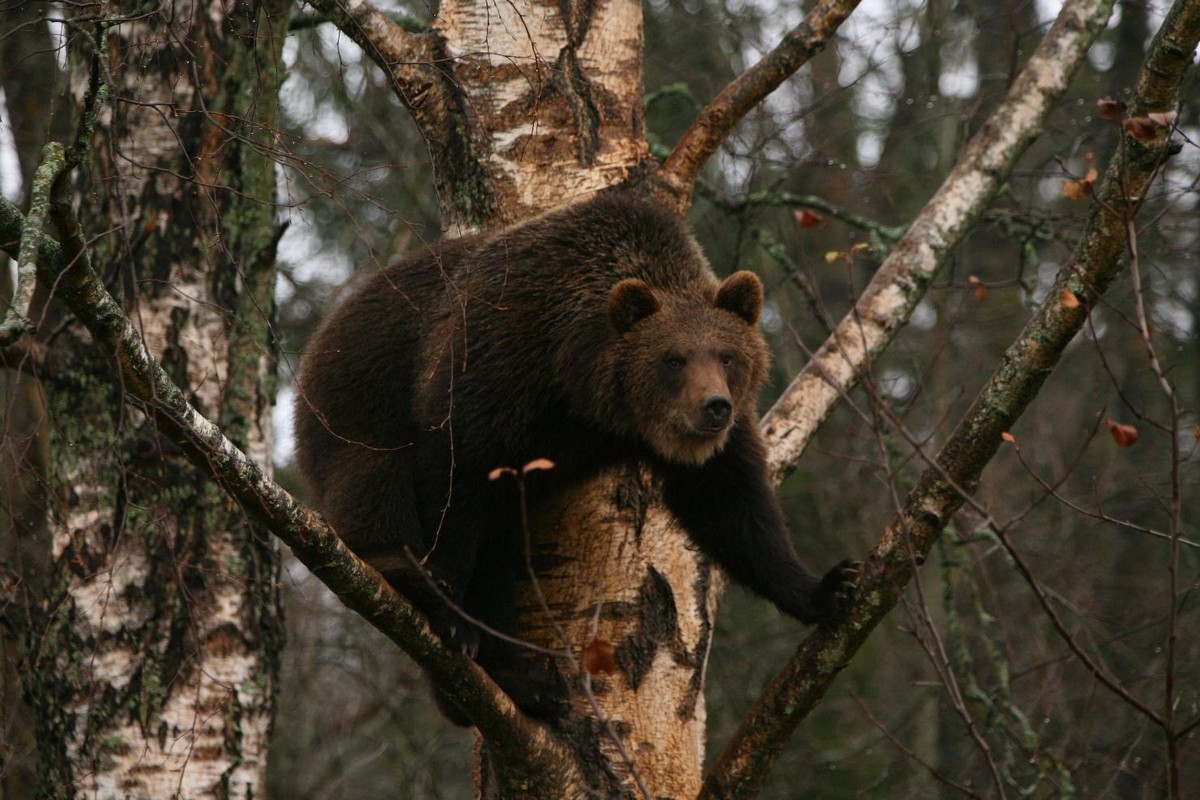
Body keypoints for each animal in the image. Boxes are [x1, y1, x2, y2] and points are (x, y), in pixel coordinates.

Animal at [294, 190, 859, 724]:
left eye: (728, 356)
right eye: (673, 359)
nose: (714, 406)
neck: (582, 389)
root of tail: (318, 337)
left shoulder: (687, 442)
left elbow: (732, 506)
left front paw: (827, 586)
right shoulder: (494, 368)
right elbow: (453, 486)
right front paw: (447, 611)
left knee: (500, 556)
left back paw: (525, 684)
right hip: (358, 400)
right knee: (376, 483)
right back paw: (404, 575)